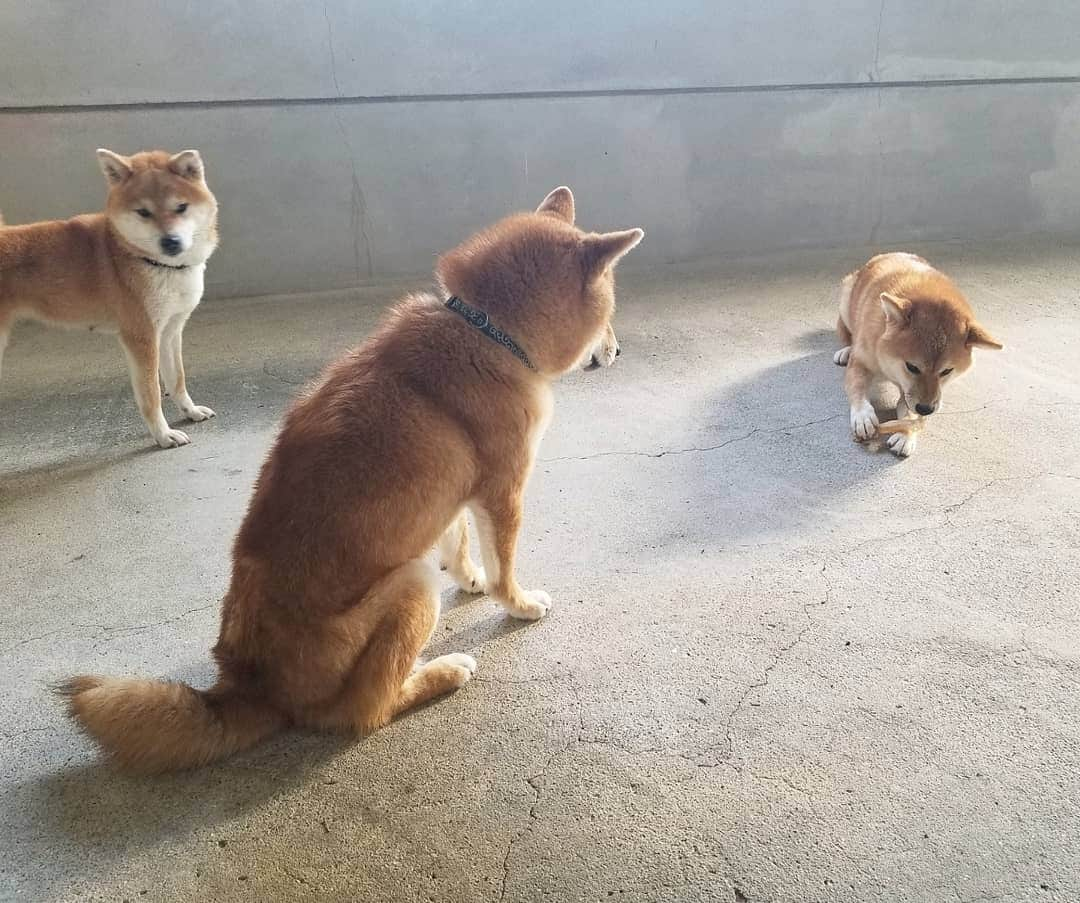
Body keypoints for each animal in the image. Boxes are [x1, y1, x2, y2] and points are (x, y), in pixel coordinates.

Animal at [0, 147, 219, 447]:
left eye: (181, 207)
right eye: (143, 212)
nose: (171, 241)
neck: (151, 262)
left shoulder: (170, 331)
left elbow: (177, 379)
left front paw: (191, 411)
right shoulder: (141, 337)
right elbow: (151, 393)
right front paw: (163, 435)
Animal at [56, 186, 639, 773]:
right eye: (611, 310)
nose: (618, 350)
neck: (486, 332)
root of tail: (254, 686)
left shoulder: (452, 495)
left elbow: (457, 543)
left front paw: (470, 577)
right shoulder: (503, 492)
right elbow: (505, 569)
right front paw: (518, 603)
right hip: (412, 585)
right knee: (367, 710)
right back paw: (440, 673)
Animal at [833, 250, 1002, 455]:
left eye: (947, 371)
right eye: (912, 367)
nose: (925, 409)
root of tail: (888, 253)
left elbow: (907, 410)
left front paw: (906, 434)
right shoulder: (862, 361)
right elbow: (857, 387)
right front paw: (863, 414)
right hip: (846, 300)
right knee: (847, 333)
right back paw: (846, 350)